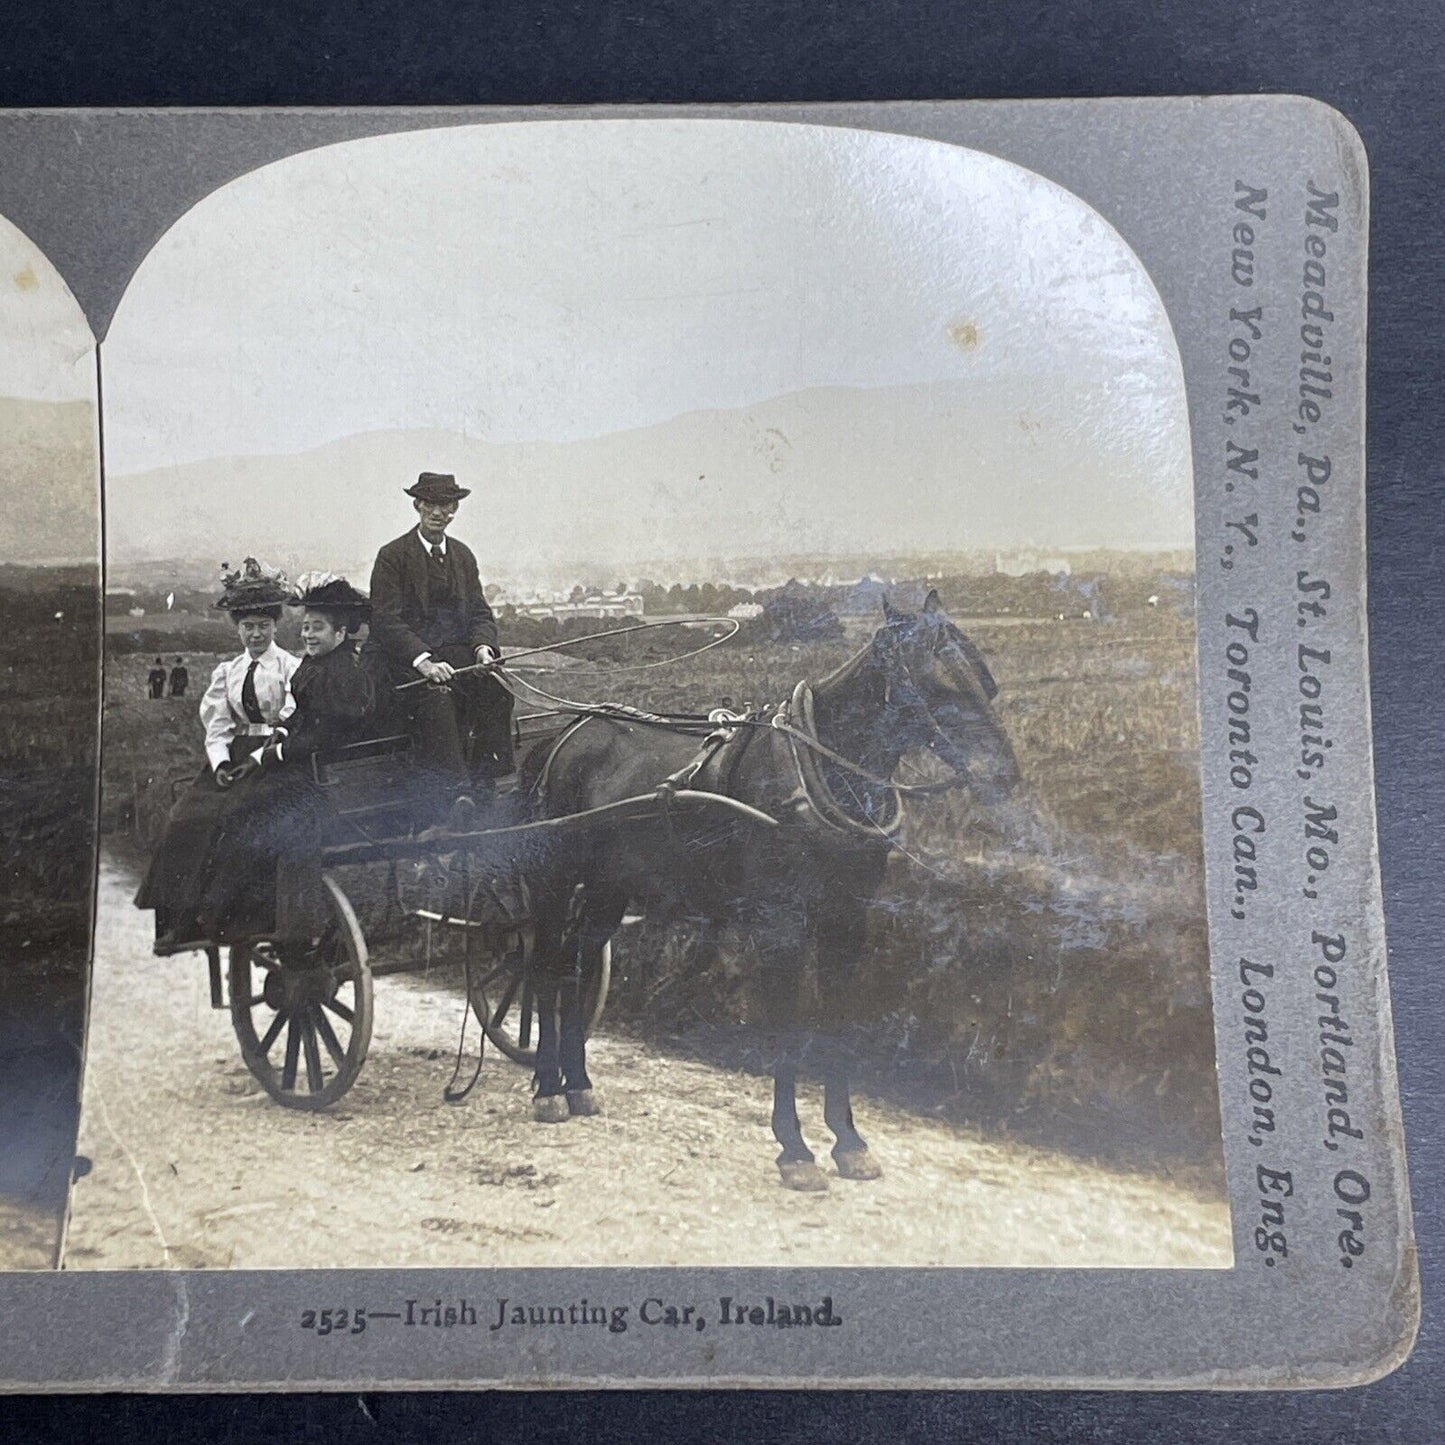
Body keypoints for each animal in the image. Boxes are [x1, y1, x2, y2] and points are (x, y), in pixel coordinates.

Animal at [514, 592, 1023, 1190]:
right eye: (935, 684)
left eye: (984, 681)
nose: (1005, 776)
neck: (815, 773)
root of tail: (566, 734)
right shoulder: (779, 923)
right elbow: (785, 1026)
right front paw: (795, 1149)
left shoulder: (848, 919)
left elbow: (837, 1021)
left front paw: (849, 1141)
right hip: (555, 881)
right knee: (547, 969)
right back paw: (548, 1087)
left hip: (606, 889)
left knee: (578, 965)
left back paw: (578, 1083)